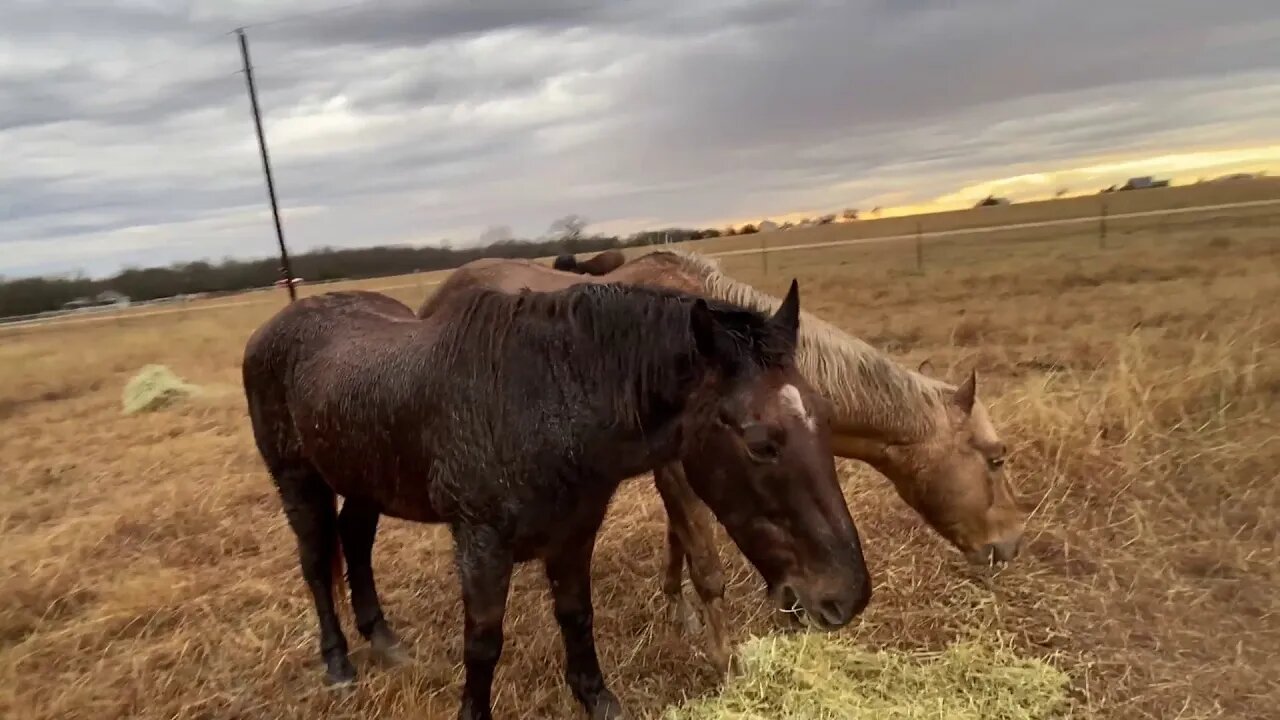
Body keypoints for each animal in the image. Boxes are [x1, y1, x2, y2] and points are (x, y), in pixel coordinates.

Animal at [240, 280, 870, 717]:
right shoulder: (481, 546)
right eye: (761, 443)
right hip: (298, 482)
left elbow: (576, 616)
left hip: (366, 479)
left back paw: (384, 641)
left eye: (825, 418)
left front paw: (597, 698)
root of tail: (273, 327)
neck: (542, 399)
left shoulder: (575, 532)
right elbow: (483, 642)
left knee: (355, 541)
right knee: (317, 564)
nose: (847, 597)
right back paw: (339, 661)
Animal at [419, 248, 1029, 671]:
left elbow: (679, 542)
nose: (1010, 546)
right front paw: (724, 658)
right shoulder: (679, 470)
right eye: (996, 459)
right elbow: (706, 563)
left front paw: (677, 608)